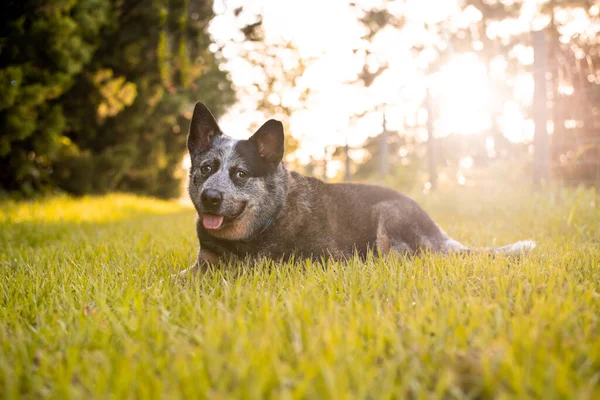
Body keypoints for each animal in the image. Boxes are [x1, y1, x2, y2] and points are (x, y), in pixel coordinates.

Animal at [178, 101, 536, 276]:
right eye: (207, 168)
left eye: (240, 173)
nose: (211, 197)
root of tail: (440, 234)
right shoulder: (203, 262)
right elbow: (182, 276)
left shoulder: (318, 260)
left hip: (388, 217)